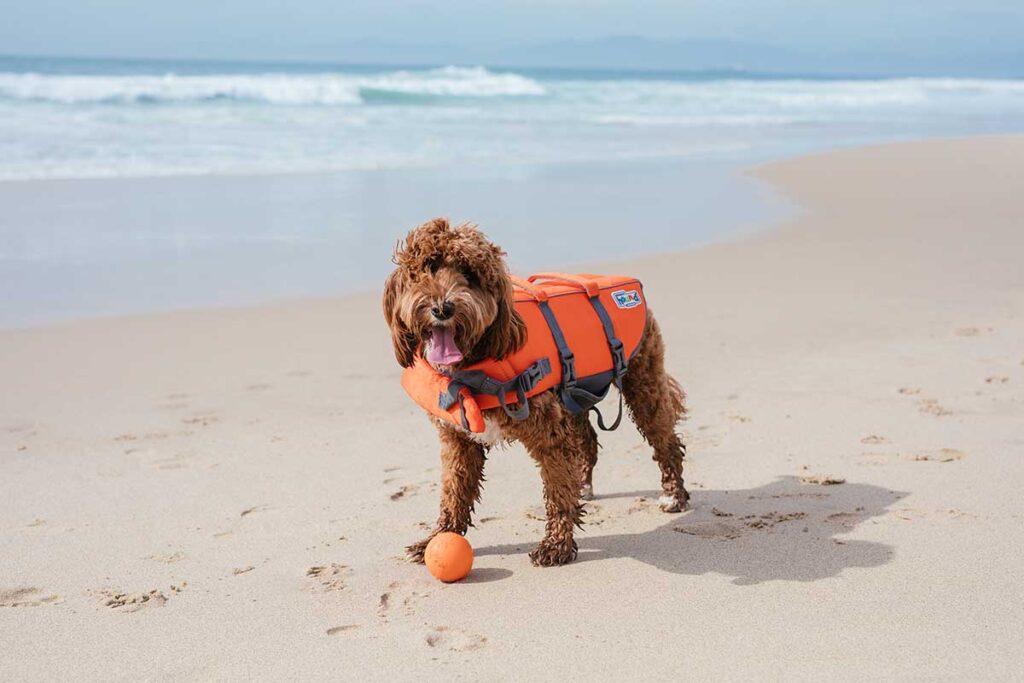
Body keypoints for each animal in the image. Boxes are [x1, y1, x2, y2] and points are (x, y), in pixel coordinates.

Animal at [385, 219, 688, 565]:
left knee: (665, 439)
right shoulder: (459, 442)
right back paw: (584, 485)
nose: (442, 308)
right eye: (428, 268)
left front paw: (557, 546)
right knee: (587, 442)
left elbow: (557, 492)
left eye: (470, 276)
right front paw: (437, 539)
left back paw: (673, 495)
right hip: (573, 399)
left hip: (643, 383)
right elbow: (454, 493)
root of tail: (630, 288)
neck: (473, 365)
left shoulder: (549, 434)